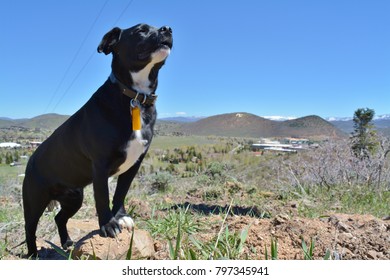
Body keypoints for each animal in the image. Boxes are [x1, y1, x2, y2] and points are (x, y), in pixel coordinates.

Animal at [22, 24, 172, 258]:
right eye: (141, 30)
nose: (167, 29)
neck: (134, 97)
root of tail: (31, 160)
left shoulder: (134, 164)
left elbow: (120, 193)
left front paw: (121, 216)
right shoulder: (101, 165)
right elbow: (103, 197)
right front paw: (108, 225)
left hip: (73, 198)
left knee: (59, 217)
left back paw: (66, 243)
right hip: (35, 201)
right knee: (30, 227)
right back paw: (33, 254)